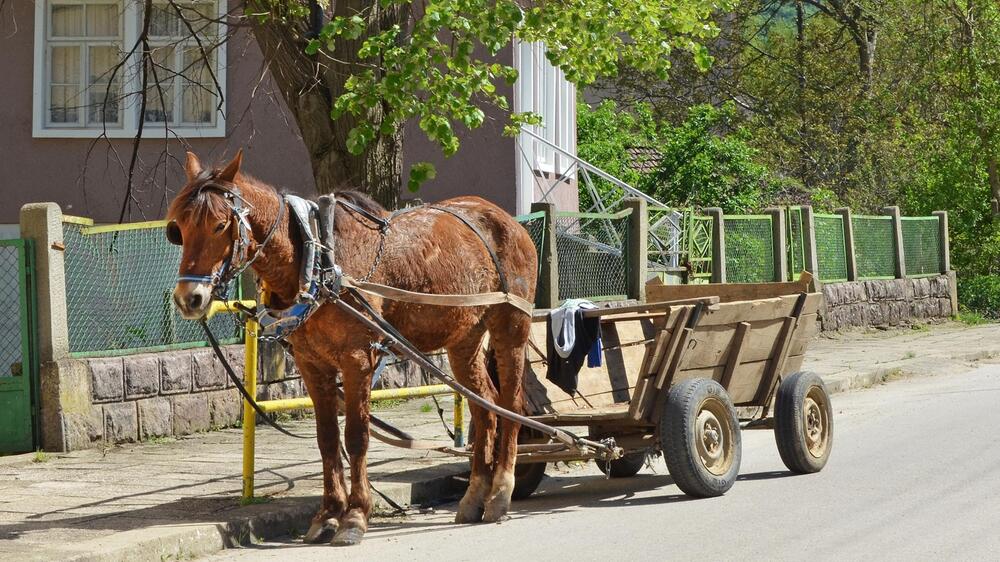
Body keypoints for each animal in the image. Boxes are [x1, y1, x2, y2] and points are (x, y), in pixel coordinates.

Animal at [168, 151, 540, 544]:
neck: (316, 260)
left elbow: (357, 437)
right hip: (464, 338)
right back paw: (474, 495)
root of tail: (504, 218)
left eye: (220, 225)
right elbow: (328, 438)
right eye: (179, 228)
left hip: (511, 327)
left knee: (510, 404)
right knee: (485, 407)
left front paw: (355, 516)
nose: (189, 299)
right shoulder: (312, 364)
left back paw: (500, 491)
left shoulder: (358, 359)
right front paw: (328, 514)